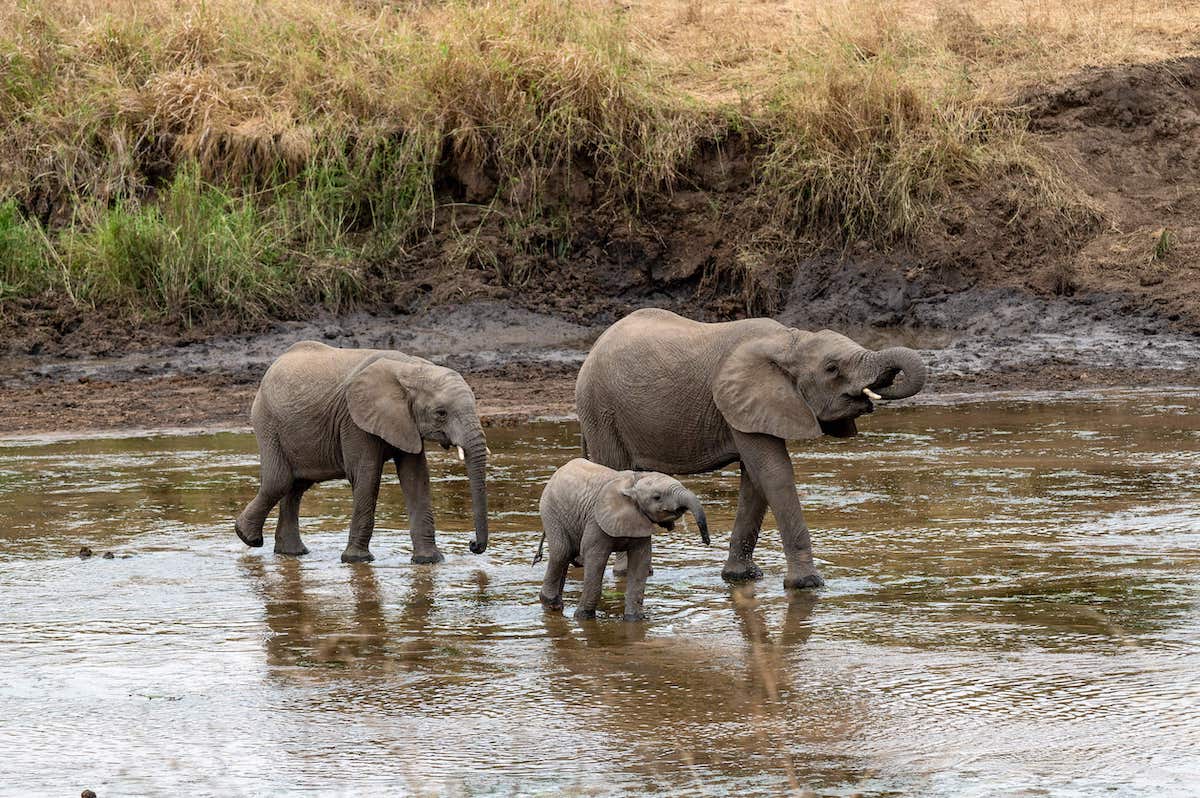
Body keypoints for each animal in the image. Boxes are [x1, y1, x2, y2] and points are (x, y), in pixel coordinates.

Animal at [234, 338, 487, 564]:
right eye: (441, 413)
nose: (472, 545)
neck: (411, 368)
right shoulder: (353, 420)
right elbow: (367, 477)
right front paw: (357, 560)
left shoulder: (406, 422)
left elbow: (416, 478)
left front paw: (430, 561)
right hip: (267, 421)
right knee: (279, 481)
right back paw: (247, 537)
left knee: (296, 486)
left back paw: (292, 553)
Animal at [540, 458, 705, 619]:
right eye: (657, 497)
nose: (706, 540)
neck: (633, 483)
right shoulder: (595, 521)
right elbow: (595, 558)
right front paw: (583, 617)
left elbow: (640, 563)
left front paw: (635, 619)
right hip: (550, 510)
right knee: (561, 553)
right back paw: (551, 604)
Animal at [578, 307, 926, 588]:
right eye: (831, 368)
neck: (789, 340)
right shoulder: (738, 399)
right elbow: (774, 473)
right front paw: (807, 584)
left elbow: (756, 481)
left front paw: (741, 578)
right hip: (601, 410)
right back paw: (627, 572)